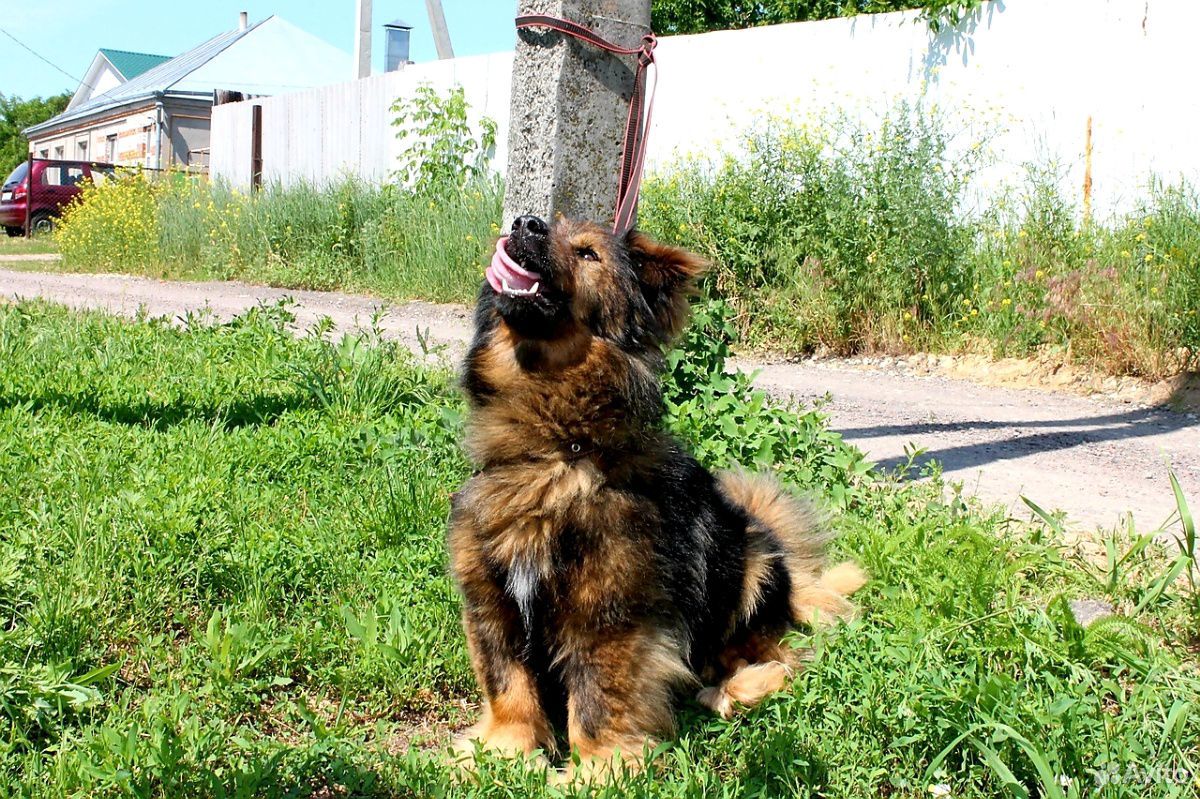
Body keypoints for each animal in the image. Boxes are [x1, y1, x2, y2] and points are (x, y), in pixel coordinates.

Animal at [446, 211, 868, 772]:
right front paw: (500, 752)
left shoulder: (611, 613)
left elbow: (599, 699)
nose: (524, 223)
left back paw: (734, 690)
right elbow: (507, 683)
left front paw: (597, 771)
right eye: (542, 226)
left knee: (782, 657)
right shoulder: (491, 600)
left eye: (587, 254)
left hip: (748, 566)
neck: (557, 449)